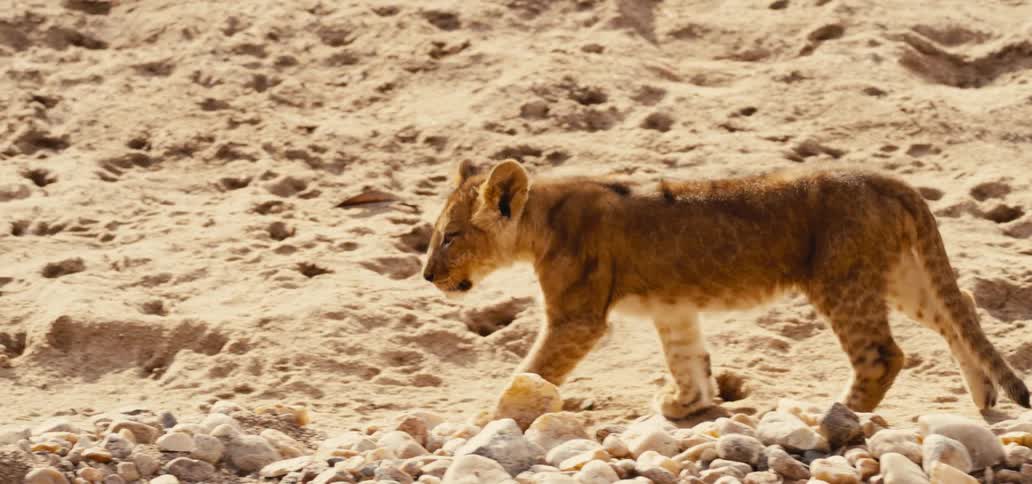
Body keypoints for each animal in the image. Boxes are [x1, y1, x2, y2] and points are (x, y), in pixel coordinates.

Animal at [421, 158, 1029, 418]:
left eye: (450, 236)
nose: (427, 276)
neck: (540, 218)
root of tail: (887, 178)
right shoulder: (673, 307)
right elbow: (687, 357)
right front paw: (688, 405)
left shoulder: (577, 316)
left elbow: (535, 368)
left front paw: (489, 420)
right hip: (896, 270)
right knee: (960, 307)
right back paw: (984, 396)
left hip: (841, 278)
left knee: (883, 355)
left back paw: (838, 414)